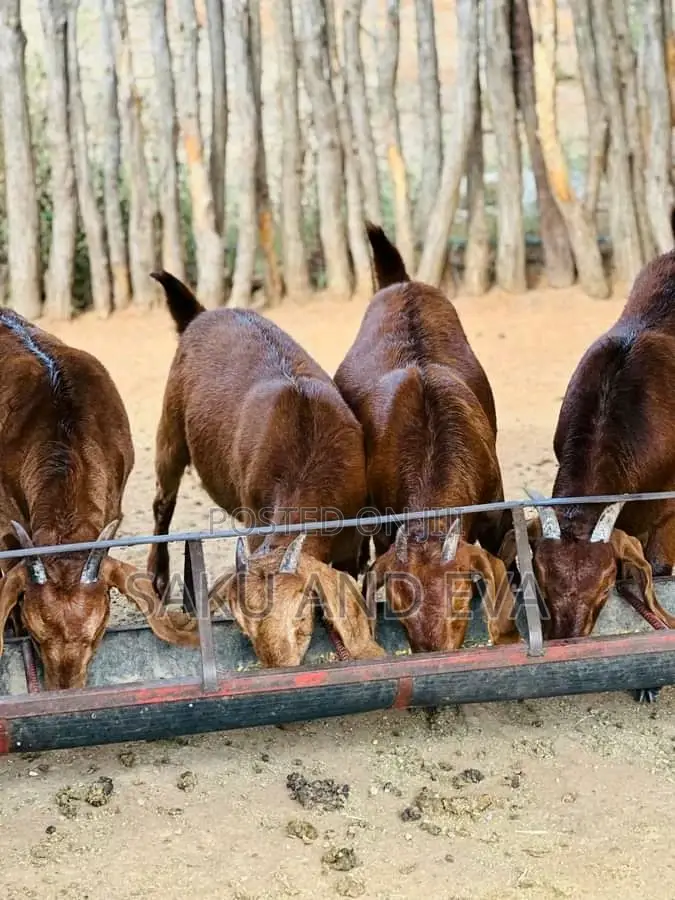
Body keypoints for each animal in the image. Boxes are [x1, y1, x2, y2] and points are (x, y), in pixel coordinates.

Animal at [149, 272, 385, 667]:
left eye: (302, 610)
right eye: (243, 626)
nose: (278, 665)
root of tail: (199, 315)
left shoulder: (352, 538)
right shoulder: (256, 519)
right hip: (170, 424)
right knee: (163, 501)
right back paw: (157, 578)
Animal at [333, 224, 520, 653]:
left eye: (462, 594)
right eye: (397, 602)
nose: (433, 651)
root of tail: (400, 283)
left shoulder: (494, 506)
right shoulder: (383, 524)